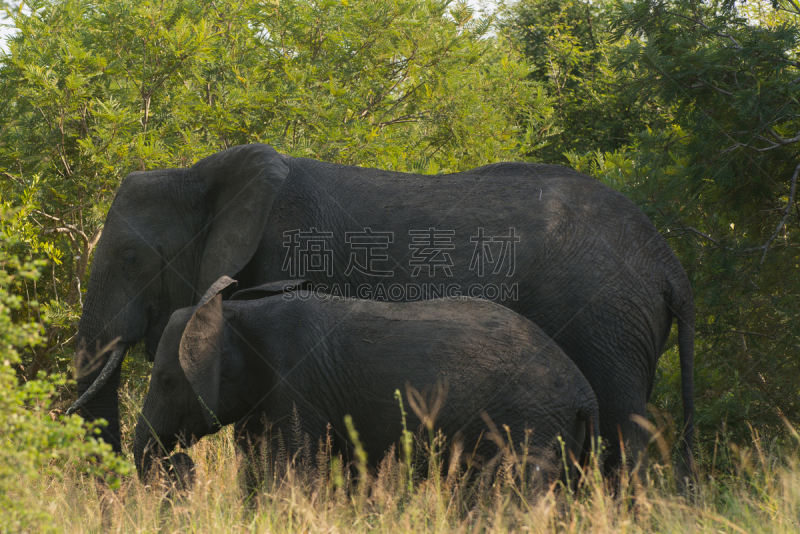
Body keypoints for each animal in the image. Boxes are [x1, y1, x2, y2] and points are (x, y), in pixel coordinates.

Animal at [134, 278, 596, 492]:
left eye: (167, 381)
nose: (179, 464)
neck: (240, 312)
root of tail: (585, 394)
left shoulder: (297, 386)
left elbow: (294, 472)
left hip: (528, 423)